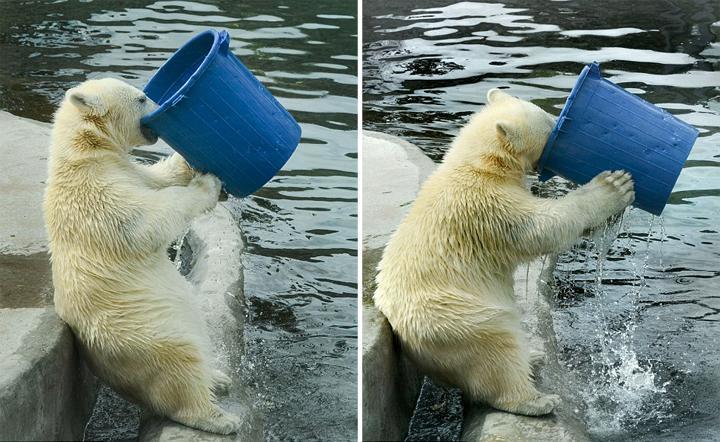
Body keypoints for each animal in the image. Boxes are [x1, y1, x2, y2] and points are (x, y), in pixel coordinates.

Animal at [45, 77, 242, 434]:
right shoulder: (100, 197)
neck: (85, 151)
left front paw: (189, 161)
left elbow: (157, 177)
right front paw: (207, 184)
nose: (159, 110)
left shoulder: (127, 172)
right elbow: (152, 219)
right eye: (141, 99)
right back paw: (219, 416)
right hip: (144, 335)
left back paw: (218, 378)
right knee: (181, 363)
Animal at [374, 89, 632, 414]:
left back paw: (533, 355)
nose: (559, 122)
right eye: (550, 125)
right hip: (457, 319)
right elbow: (544, 226)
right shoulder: (489, 207)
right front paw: (614, 185)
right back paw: (537, 399)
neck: (479, 164)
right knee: (497, 350)